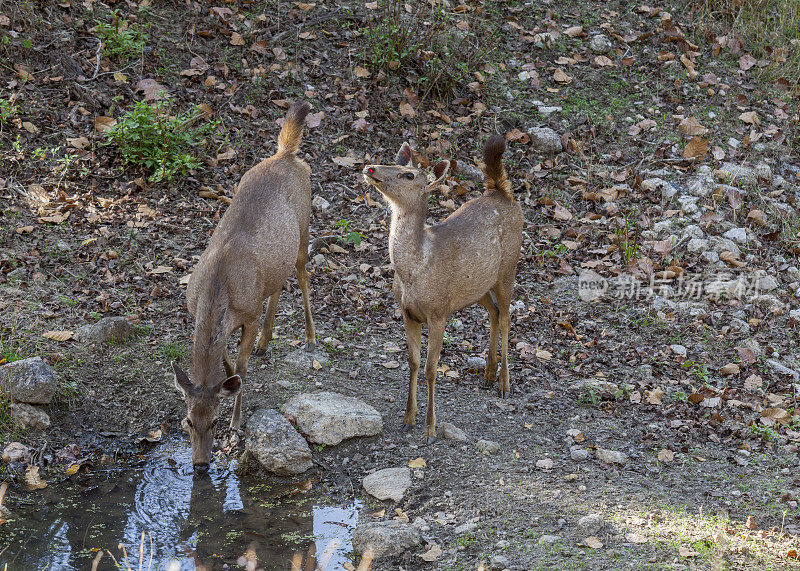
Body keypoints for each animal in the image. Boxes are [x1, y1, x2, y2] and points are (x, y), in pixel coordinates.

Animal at [172, 103, 316, 474]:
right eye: (188, 421)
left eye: (214, 422)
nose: (200, 465)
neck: (216, 293)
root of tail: (287, 154)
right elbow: (227, 364)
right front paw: (227, 377)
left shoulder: (248, 315)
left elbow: (241, 367)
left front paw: (237, 424)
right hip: (276, 255)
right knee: (278, 284)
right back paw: (267, 341)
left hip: (304, 226)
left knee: (303, 275)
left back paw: (310, 336)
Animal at [360, 135, 520, 442]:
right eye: (392, 161)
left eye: (408, 174)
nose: (370, 167)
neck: (415, 271)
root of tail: (502, 193)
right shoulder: (407, 312)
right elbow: (412, 362)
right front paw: (407, 418)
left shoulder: (438, 312)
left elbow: (431, 368)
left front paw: (430, 428)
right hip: (477, 286)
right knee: (494, 313)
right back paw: (489, 374)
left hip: (509, 267)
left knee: (507, 317)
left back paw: (505, 383)